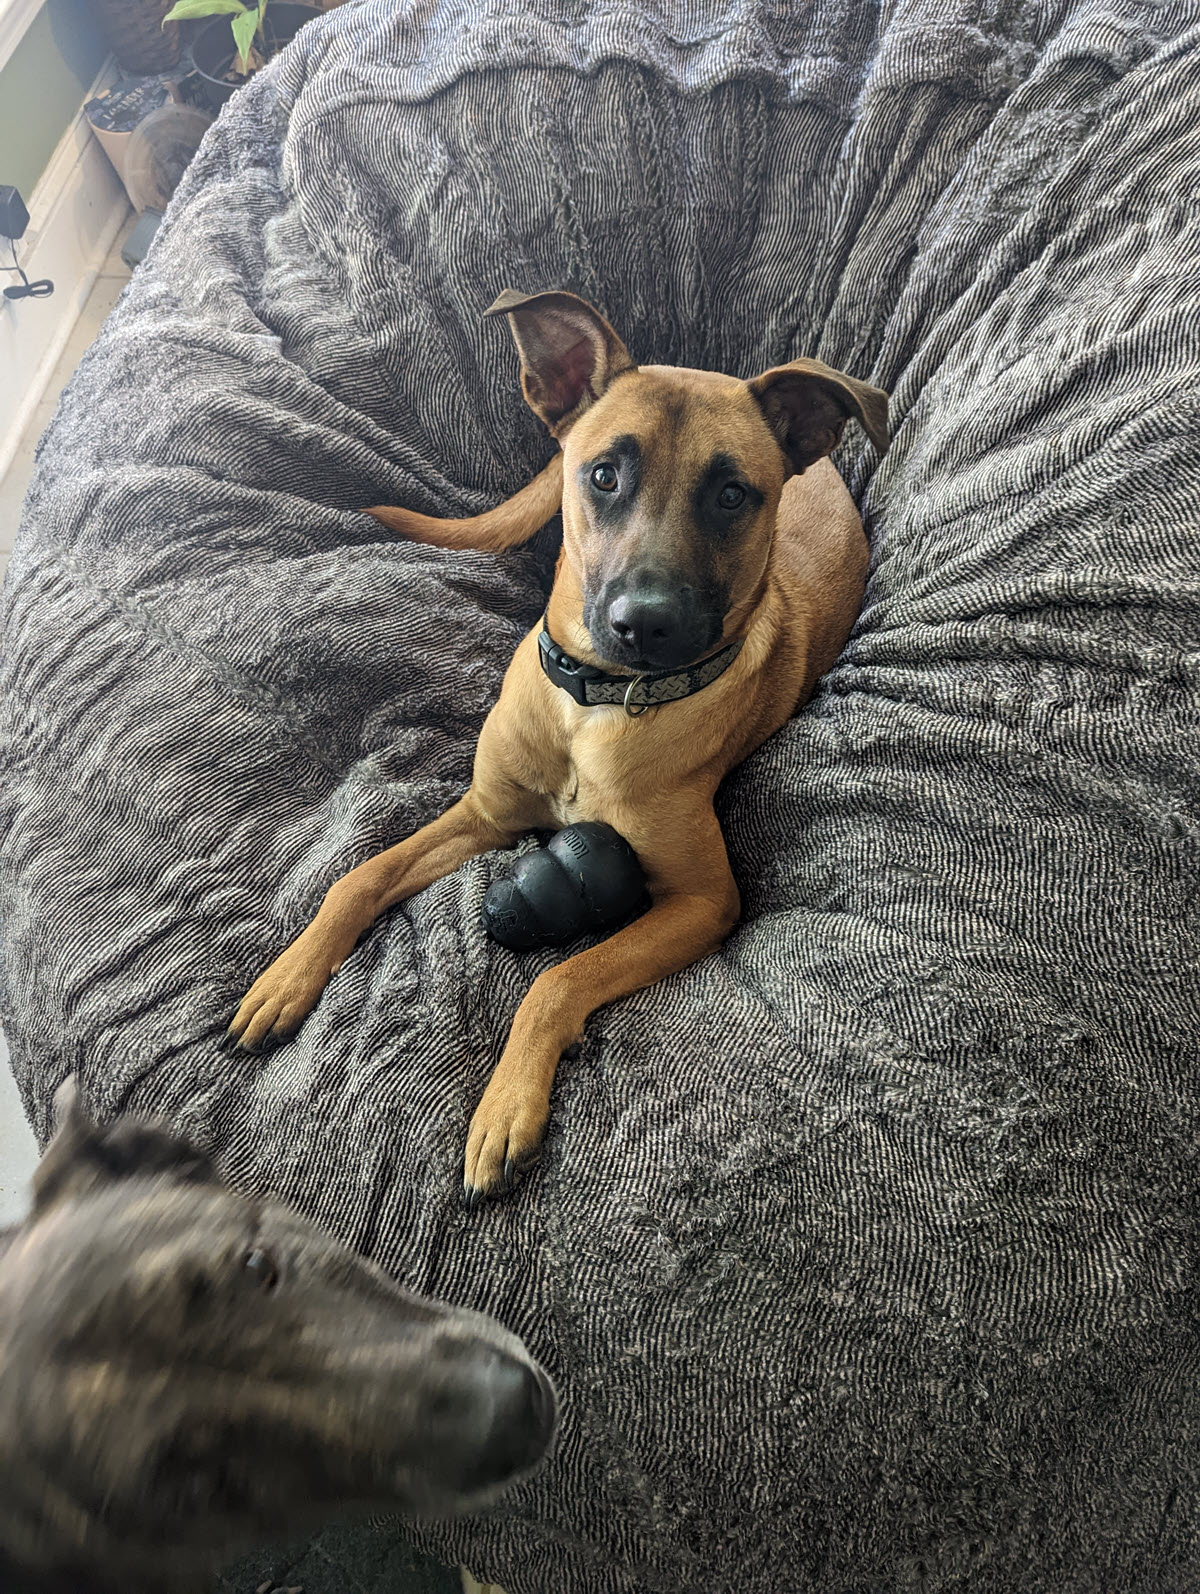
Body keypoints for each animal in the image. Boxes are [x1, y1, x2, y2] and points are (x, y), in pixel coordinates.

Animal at [226, 293, 879, 1198]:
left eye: (731, 495)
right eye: (603, 475)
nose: (644, 624)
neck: (595, 709)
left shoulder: (702, 901)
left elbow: (557, 977)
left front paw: (505, 1106)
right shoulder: (484, 814)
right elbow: (361, 877)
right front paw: (287, 978)